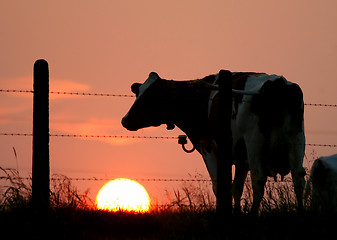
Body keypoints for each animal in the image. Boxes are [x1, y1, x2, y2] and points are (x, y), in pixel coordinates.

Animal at [122, 70, 306, 213]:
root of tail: (277, 82)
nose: (125, 120)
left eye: (151, 95)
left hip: (254, 142)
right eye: (138, 92)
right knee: (298, 178)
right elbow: (236, 188)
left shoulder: (209, 148)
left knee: (258, 180)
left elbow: (219, 187)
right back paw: (300, 213)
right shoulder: (241, 157)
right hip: (296, 139)